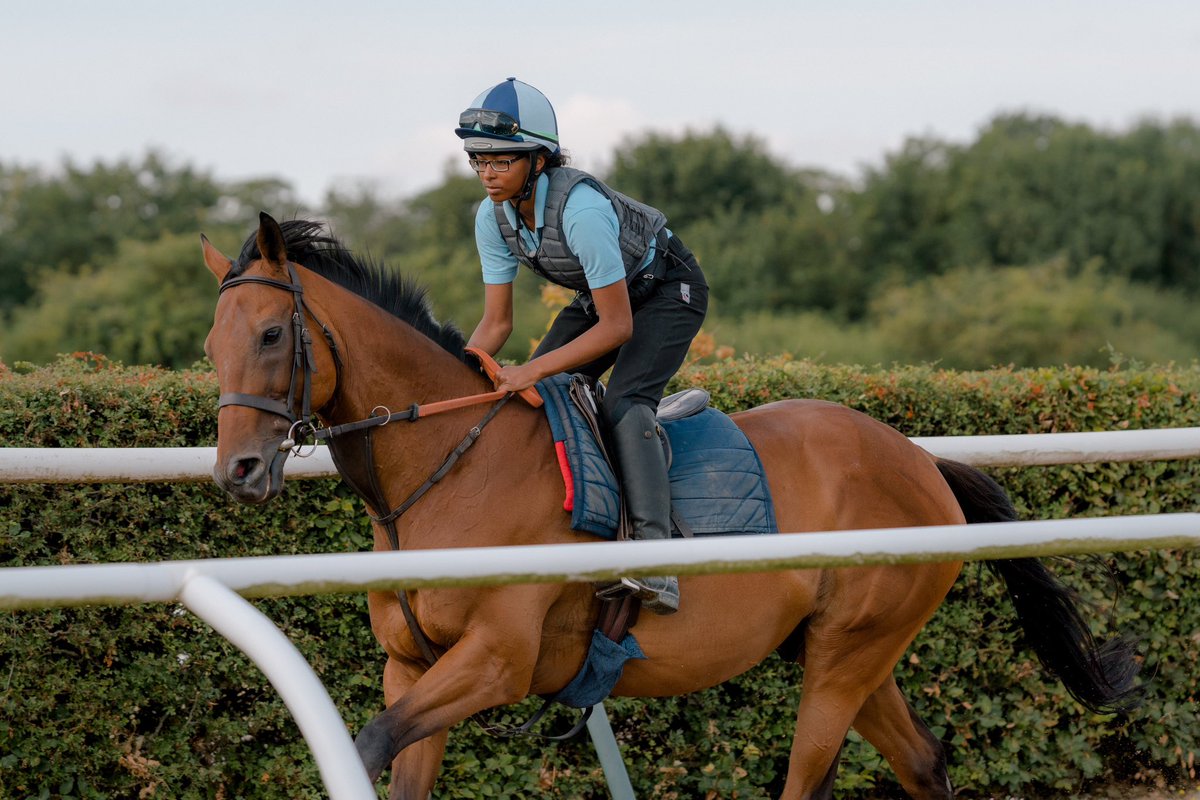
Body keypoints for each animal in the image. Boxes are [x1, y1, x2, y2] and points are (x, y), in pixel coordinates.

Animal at [201, 212, 1137, 800]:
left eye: (273, 335)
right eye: (211, 344)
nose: (239, 468)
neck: (445, 472)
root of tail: (921, 459)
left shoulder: (498, 660)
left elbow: (365, 742)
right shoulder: (413, 666)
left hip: (850, 651)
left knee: (810, 779)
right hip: (846, 651)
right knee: (925, 764)